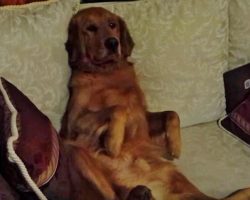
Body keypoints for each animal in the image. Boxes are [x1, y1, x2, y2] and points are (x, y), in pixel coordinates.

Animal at [56, 6, 250, 200]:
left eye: (112, 25)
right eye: (90, 28)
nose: (112, 42)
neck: (108, 73)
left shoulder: (144, 116)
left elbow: (172, 113)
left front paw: (175, 144)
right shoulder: (72, 123)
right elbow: (118, 108)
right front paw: (113, 142)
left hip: (176, 178)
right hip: (79, 155)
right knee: (114, 195)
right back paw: (138, 192)